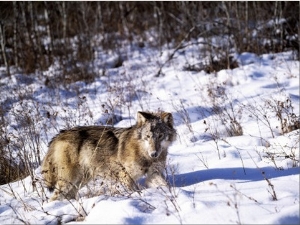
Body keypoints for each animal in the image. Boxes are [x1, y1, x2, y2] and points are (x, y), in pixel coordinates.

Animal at [40, 111, 176, 201]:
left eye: (160, 136)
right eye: (148, 136)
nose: (154, 154)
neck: (143, 153)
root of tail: (59, 135)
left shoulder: (154, 173)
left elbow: (166, 185)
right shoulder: (125, 176)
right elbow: (134, 191)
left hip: (80, 181)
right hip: (68, 181)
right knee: (54, 198)